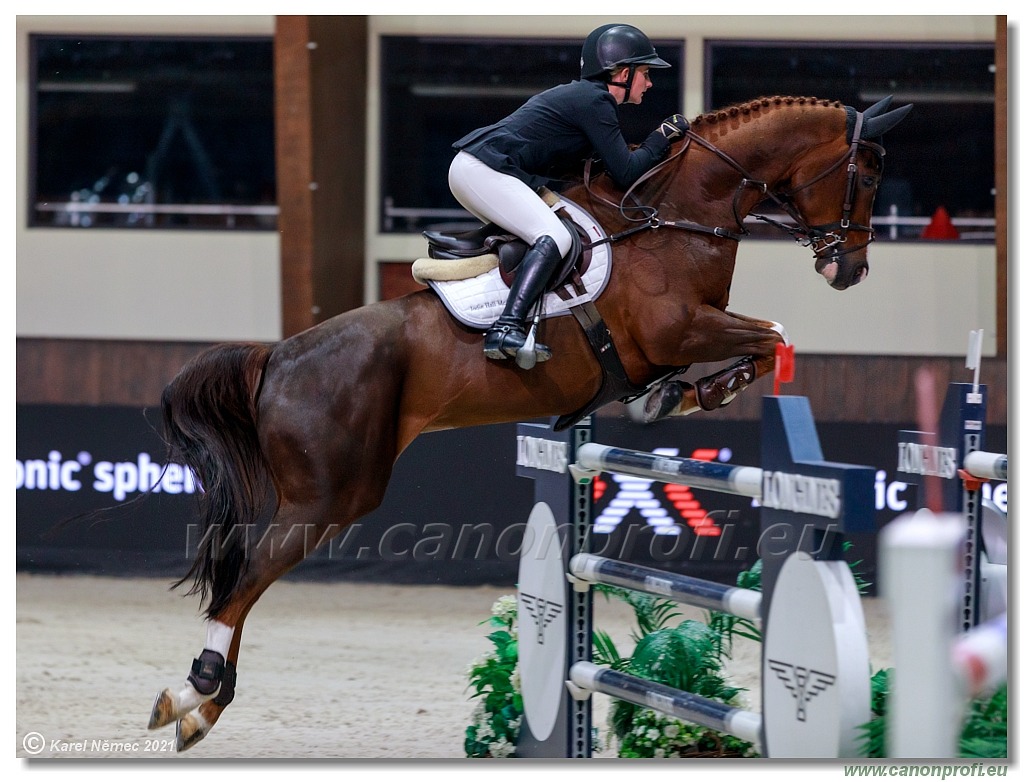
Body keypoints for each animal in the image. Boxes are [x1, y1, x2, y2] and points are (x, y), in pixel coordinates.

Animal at [148, 94, 909, 749]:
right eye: (869, 175)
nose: (852, 270)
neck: (679, 215)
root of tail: (278, 357)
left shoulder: (690, 333)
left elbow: (762, 343)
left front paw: (673, 397)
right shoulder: (680, 329)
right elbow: (774, 336)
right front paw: (691, 392)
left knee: (243, 574)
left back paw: (206, 705)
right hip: (332, 495)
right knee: (247, 575)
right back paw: (194, 695)